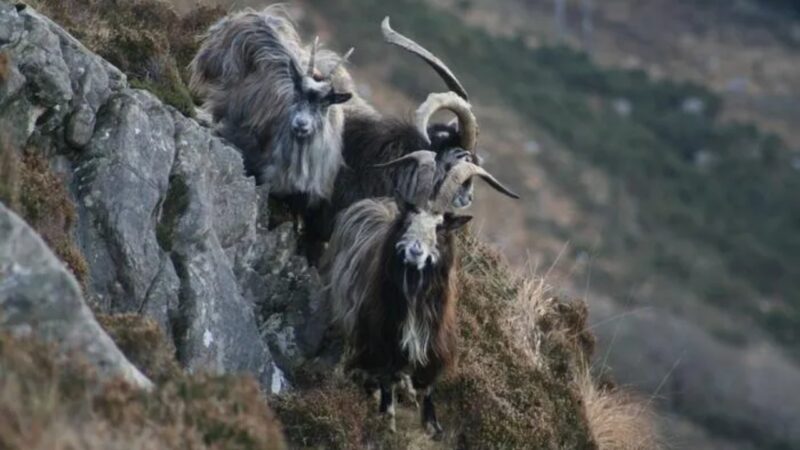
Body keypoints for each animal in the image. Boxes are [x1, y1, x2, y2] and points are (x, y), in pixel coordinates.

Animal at [323, 155, 517, 437]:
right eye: (409, 221)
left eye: (439, 227)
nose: (415, 251)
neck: (414, 296)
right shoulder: (384, 338)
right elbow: (387, 378)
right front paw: (388, 421)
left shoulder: (435, 339)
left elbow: (428, 383)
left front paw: (433, 426)